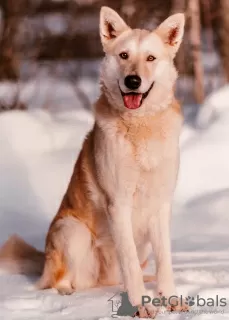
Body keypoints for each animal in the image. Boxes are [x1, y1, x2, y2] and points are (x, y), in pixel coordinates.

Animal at [0, 6, 186, 318]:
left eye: (150, 58)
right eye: (124, 55)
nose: (132, 81)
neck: (140, 128)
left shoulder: (161, 205)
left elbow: (165, 261)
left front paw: (170, 298)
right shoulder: (118, 204)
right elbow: (130, 264)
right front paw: (141, 305)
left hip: (140, 245)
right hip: (71, 232)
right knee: (59, 280)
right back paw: (67, 295)